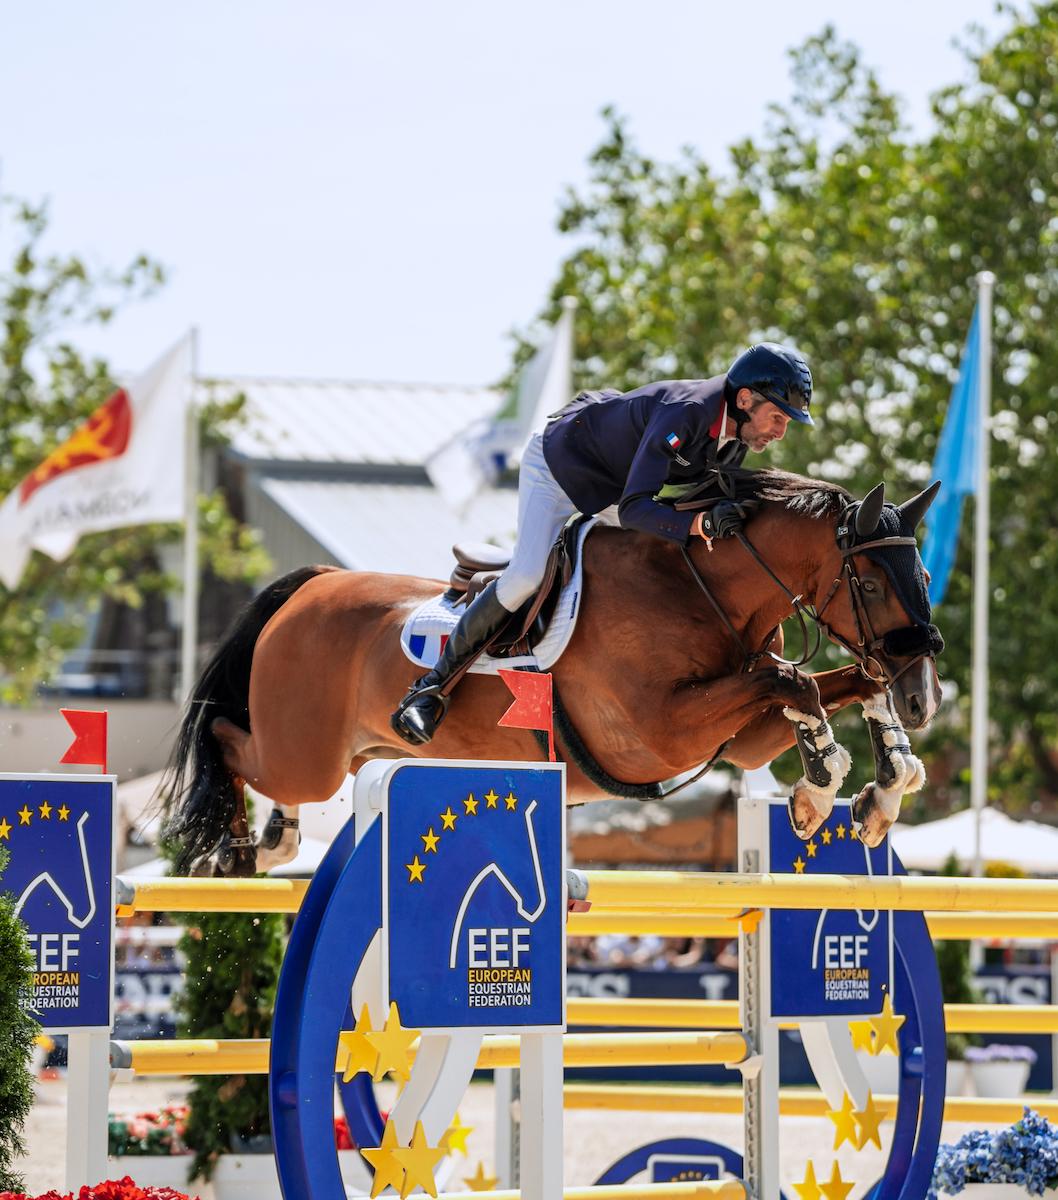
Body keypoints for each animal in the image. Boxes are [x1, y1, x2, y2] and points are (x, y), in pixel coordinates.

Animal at [163, 465, 940, 873]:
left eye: (925, 573)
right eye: (873, 585)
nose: (926, 698)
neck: (702, 585)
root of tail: (314, 584)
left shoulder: (739, 738)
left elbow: (840, 686)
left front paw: (882, 790)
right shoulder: (660, 733)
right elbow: (795, 681)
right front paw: (818, 794)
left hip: (351, 753)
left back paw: (272, 840)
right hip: (306, 754)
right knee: (228, 740)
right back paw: (232, 846)